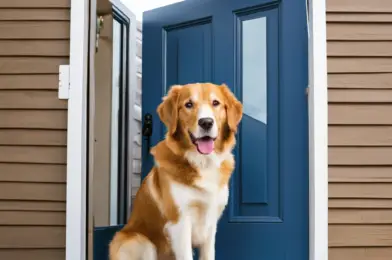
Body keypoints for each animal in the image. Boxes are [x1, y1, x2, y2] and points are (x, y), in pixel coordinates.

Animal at [109, 83, 242, 260]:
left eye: (216, 103)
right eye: (188, 104)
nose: (206, 122)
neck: (202, 162)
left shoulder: (210, 225)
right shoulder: (180, 222)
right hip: (141, 242)